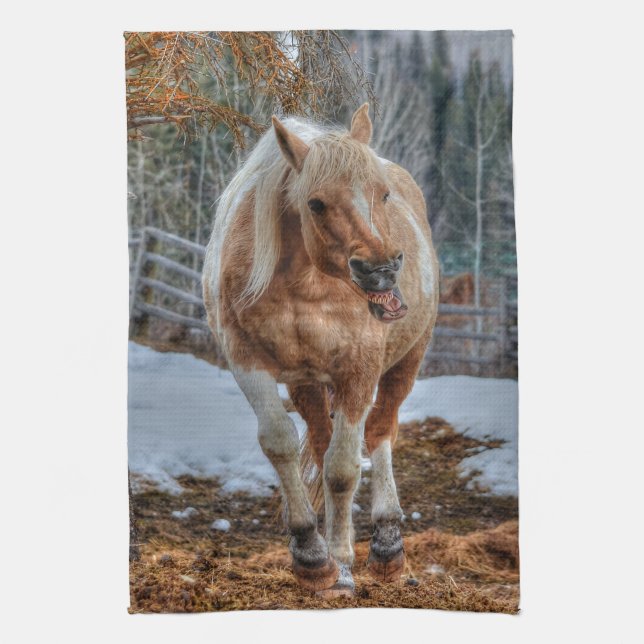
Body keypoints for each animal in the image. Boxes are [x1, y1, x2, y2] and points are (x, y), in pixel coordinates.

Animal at [203, 104, 439, 597]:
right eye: (315, 203)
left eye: (382, 194)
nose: (381, 270)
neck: (305, 287)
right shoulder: (247, 363)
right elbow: (279, 444)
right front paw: (311, 555)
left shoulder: (359, 373)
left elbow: (344, 468)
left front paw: (343, 563)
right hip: (307, 384)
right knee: (321, 439)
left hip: (406, 363)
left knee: (380, 432)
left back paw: (386, 545)